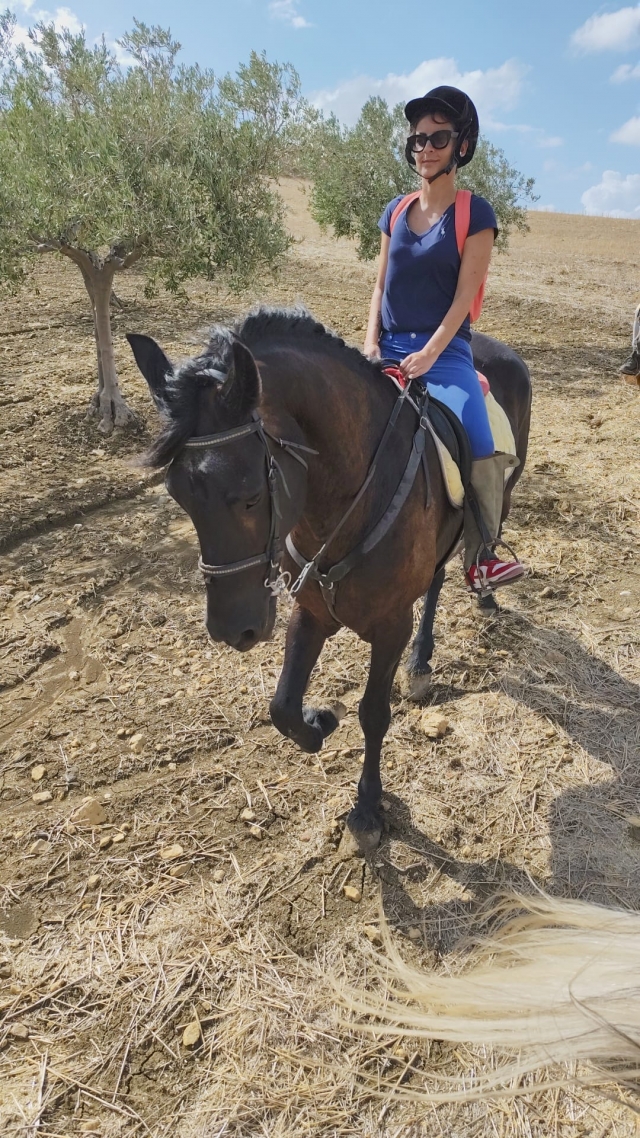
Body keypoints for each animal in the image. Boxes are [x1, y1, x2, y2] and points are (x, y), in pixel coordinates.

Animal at [127, 308, 531, 849]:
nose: (233, 630)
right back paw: (421, 663)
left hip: (504, 491)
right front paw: (319, 721)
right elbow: (281, 706)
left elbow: (373, 713)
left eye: (251, 495)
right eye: (177, 495)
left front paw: (367, 809)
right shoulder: (311, 610)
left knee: (473, 544)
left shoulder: (391, 626)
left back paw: (478, 595)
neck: (344, 501)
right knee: (437, 577)